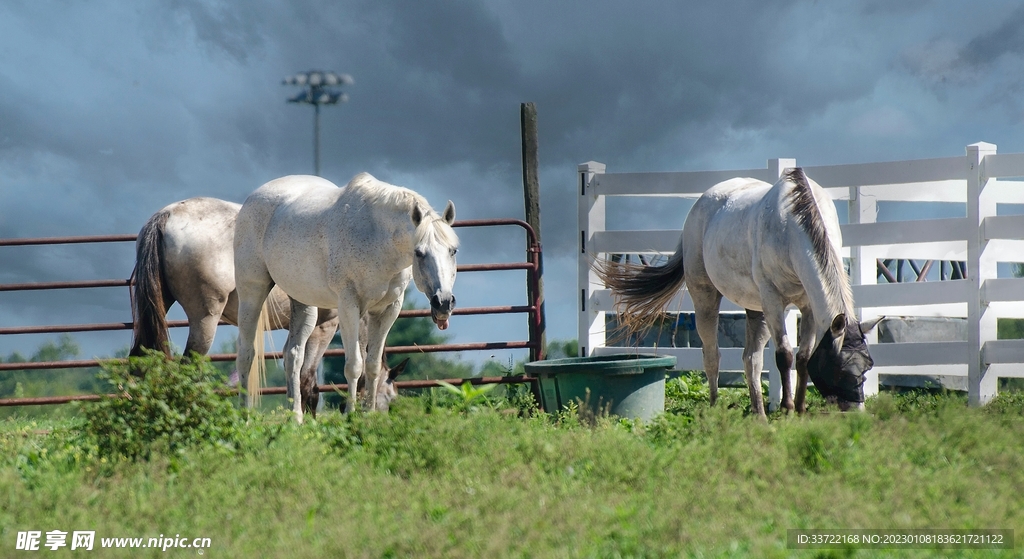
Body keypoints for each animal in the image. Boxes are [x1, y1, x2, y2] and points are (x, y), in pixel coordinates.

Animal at [128, 197, 406, 415]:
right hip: (205, 319)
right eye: (392, 400)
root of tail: (168, 214)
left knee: (138, 361)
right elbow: (308, 382)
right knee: (186, 369)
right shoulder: (325, 327)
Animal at [234, 172, 458, 423]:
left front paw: (369, 415)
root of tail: (254, 197)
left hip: (303, 302)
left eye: (453, 250)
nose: (443, 303)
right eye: (419, 252)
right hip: (252, 291)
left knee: (293, 356)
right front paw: (350, 415)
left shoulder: (387, 309)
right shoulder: (350, 306)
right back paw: (244, 416)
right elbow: (354, 365)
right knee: (246, 353)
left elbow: (372, 365)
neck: (377, 237)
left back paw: (297, 418)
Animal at [595, 168, 878, 419]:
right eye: (840, 369)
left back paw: (759, 414)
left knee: (751, 359)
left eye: (868, 367)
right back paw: (714, 407)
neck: (792, 224)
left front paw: (799, 409)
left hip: (755, 309)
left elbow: (803, 357)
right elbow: (784, 354)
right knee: (712, 356)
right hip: (706, 298)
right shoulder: (773, 300)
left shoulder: (807, 305)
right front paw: (786, 409)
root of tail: (699, 206)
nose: (858, 411)